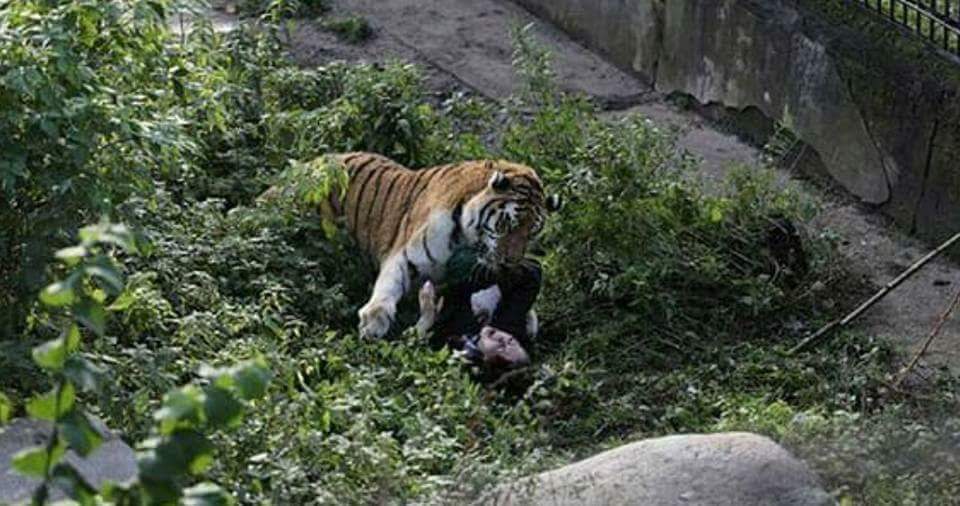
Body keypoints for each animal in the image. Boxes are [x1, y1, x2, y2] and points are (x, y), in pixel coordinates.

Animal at [296, 151, 560, 340]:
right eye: (507, 225)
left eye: (531, 234)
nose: (510, 262)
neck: (468, 240)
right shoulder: (406, 254)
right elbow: (389, 283)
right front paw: (374, 320)